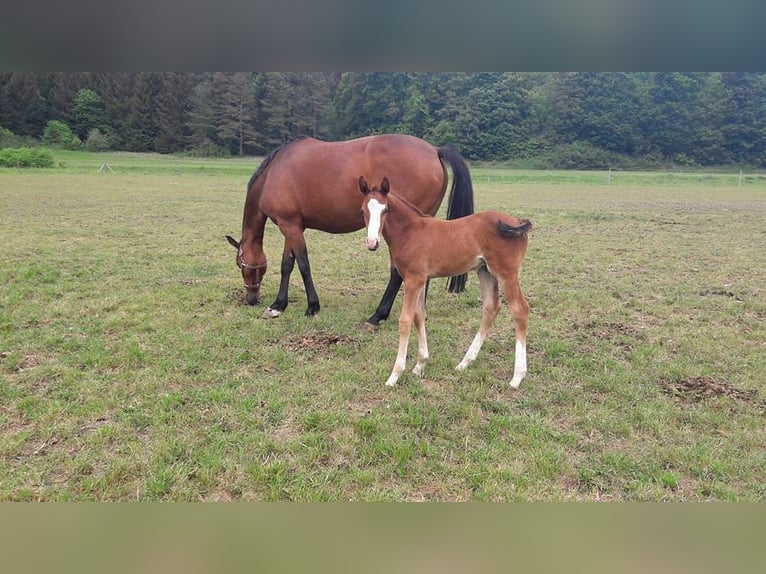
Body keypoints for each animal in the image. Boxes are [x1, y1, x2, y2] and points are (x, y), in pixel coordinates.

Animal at [225, 133, 474, 326]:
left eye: (240, 264)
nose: (251, 298)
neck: (274, 173)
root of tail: (434, 150)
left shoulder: (290, 226)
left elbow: (303, 265)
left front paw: (312, 306)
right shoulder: (292, 225)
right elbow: (288, 264)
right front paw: (279, 305)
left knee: (396, 272)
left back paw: (378, 316)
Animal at [362, 177, 536, 392]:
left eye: (385, 209)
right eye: (363, 210)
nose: (372, 243)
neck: (410, 231)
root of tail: (517, 222)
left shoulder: (413, 279)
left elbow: (406, 320)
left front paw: (395, 375)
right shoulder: (420, 279)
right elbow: (419, 316)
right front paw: (420, 365)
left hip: (506, 273)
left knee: (520, 310)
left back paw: (517, 377)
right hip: (485, 271)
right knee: (491, 307)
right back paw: (465, 362)